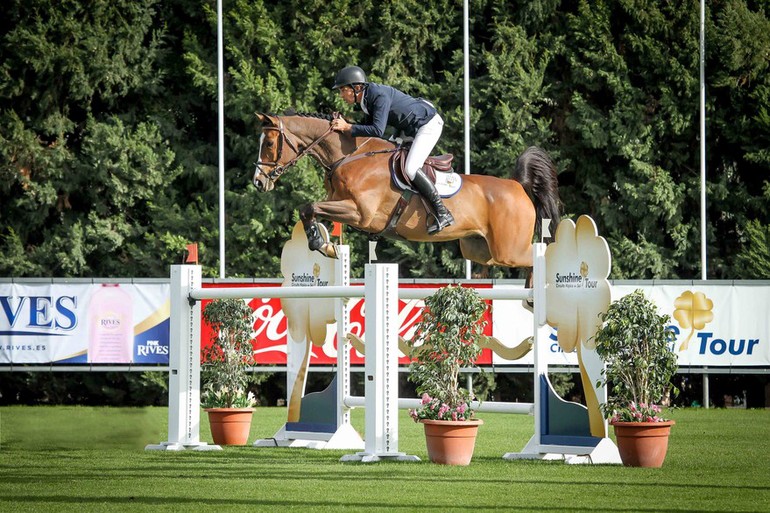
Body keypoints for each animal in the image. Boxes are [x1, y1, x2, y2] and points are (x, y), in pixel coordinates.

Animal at [252, 112, 560, 270]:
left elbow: (309, 207)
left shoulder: (360, 213)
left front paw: (321, 244)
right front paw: (325, 243)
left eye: (269, 143)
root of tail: (517, 185)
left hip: (509, 250)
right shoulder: (341, 205)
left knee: (538, 258)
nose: (258, 182)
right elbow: (309, 209)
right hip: (480, 249)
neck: (349, 156)